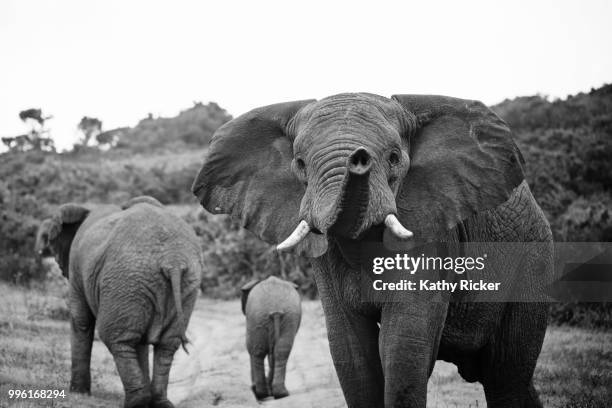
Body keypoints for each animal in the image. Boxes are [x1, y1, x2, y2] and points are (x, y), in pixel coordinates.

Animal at [34, 196, 202, 406]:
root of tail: (173, 260)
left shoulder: (76, 266)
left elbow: (81, 321)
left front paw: (78, 393)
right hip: (182, 283)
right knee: (165, 345)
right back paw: (158, 402)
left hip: (127, 279)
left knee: (117, 339)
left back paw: (137, 402)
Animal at [192, 93, 556, 408]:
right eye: (300, 163)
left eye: (394, 158)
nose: (359, 158)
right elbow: (350, 349)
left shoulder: (432, 227)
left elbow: (403, 344)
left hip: (532, 261)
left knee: (505, 376)